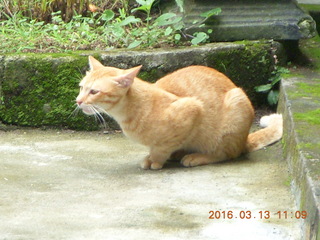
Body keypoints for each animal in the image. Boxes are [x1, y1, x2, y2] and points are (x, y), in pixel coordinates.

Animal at [75, 56, 282, 170]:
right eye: (81, 87)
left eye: (94, 92)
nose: (78, 101)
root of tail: (244, 139)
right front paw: (153, 157)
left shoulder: (192, 108)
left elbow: (161, 148)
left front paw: (155, 160)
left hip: (235, 105)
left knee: (226, 153)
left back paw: (196, 156)